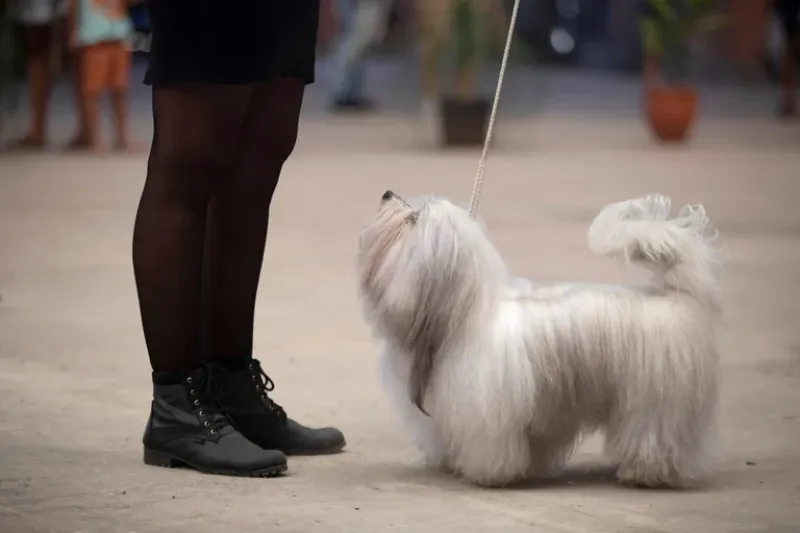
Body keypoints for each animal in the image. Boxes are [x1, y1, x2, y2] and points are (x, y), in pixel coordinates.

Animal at [358, 190, 724, 486]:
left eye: (414, 218)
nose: (387, 193)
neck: (463, 315)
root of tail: (676, 295)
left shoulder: (489, 412)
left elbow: (491, 446)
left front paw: (489, 475)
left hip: (654, 402)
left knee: (652, 435)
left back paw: (644, 473)